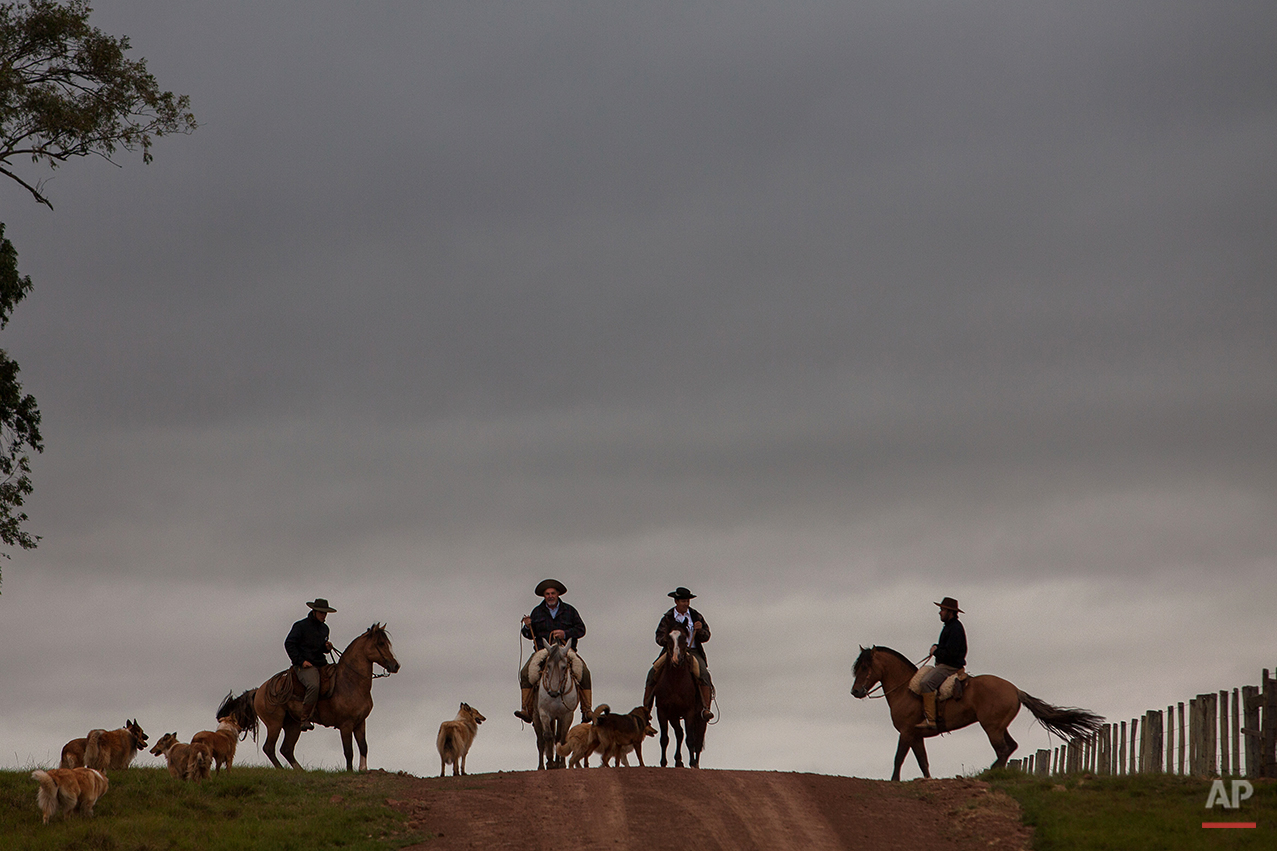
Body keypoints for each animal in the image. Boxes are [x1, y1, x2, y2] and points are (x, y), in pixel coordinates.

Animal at [231, 623, 398, 766]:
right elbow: (348, 752)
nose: (395, 665)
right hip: (274, 723)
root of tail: (259, 690)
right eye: (381, 643)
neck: (350, 682)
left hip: (292, 725)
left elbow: (363, 747)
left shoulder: (360, 722)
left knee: (286, 749)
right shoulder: (346, 725)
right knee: (269, 748)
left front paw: (363, 770)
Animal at [648, 623, 710, 766]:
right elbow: (664, 738)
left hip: (701, 718)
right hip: (674, 715)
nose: (677, 659)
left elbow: (690, 739)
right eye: (668, 638)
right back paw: (678, 761)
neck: (676, 679)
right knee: (680, 733)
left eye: (683, 638)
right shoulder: (663, 711)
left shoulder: (689, 712)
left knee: (698, 741)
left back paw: (696, 763)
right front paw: (663, 762)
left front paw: (692, 763)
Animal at [847, 646, 1098, 776]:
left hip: (991, 727)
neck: (906, 689)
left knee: (1003, 750)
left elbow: (898, 760)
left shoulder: (907, 733)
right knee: (1010, 747)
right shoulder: (916, 736)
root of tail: (1015, 690)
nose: (856, 691)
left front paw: (894, 782)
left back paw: (990, 773)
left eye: (866, 666)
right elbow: (923, 763)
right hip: (999, 726)